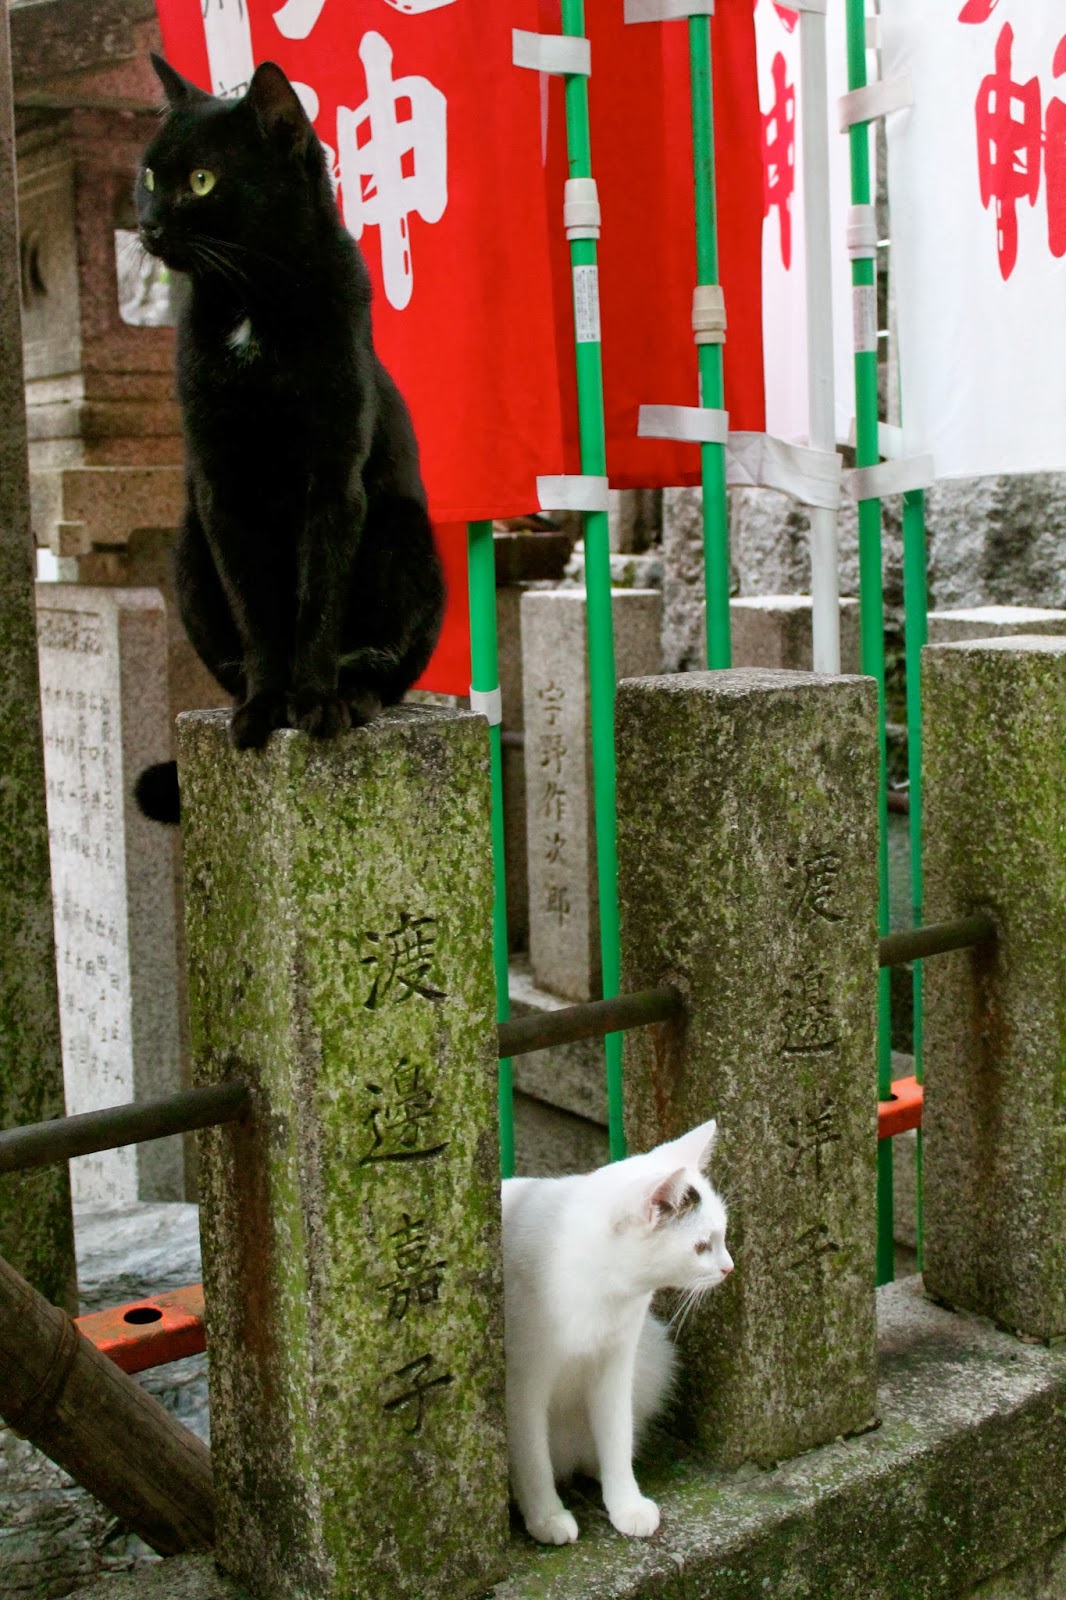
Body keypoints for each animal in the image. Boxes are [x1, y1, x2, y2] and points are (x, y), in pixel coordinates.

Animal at [133, 55, 445, 824]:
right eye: (148, 176)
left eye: (202, 180)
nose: (148, 225)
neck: (252, 304)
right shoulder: (220, 485)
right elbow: (258, 606)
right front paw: (265, 707)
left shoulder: (332, 476)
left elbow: (317, 597)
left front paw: (312, 705)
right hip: (188, 548)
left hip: (403, 534)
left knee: (383, 668)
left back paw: (350, 692)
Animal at [501, 1118, 732, 1546]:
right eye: (701, 1246)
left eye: (723, 1235)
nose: (729, 1267)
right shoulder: (522, 1382)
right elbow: (533, 1457)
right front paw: (546, 1517)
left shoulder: (617, 1361)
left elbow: (616, 1434)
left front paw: (626, 1503)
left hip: (653, 1354)